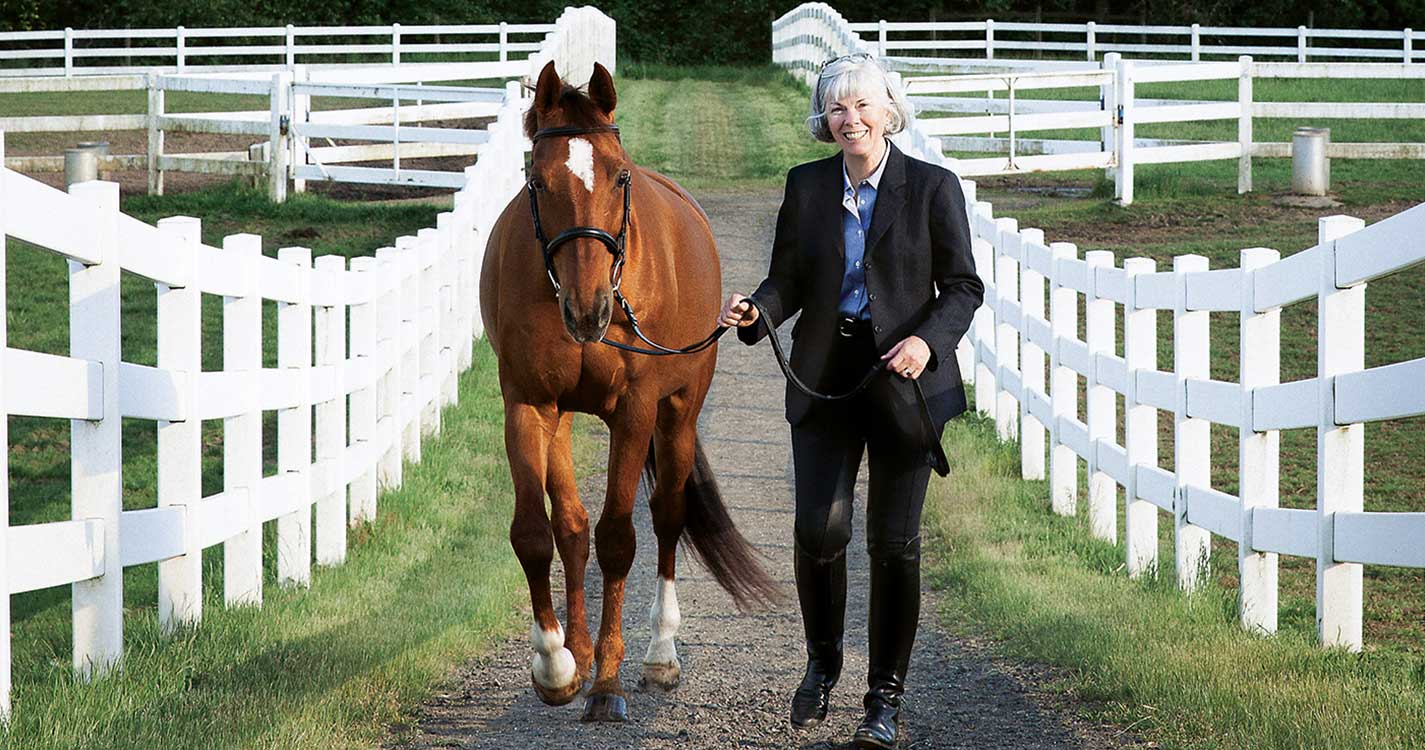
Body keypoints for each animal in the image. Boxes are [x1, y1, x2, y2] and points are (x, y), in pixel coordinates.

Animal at [481, 63, 780, 724]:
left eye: (619, 175)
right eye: (537, 180)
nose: (587, 309)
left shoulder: (636, 410)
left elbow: (620, 538)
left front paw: (608, 682)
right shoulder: (527, 404)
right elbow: (535, 534)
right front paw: (558, 664)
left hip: (678, 415)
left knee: (667, 516)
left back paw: (659, 655)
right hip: (563, 416)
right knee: (571, 526)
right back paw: (581, 648)